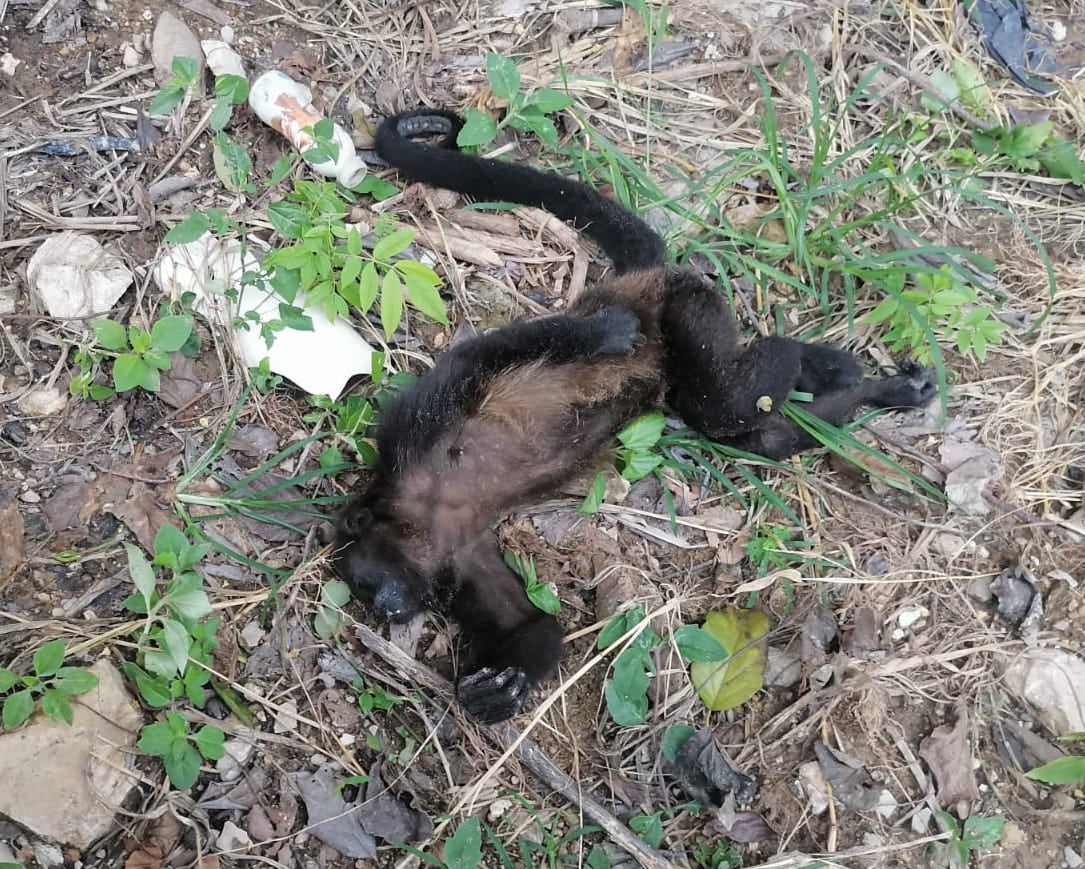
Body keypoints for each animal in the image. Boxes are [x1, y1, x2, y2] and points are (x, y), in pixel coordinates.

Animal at [332, 109, 937, 724]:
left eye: (362, 583)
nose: (387, 609)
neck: (422, 513)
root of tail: (647, 279)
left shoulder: (416, 432)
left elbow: (494, 353)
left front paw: (601, 333)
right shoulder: (461, 553)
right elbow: (529, 622)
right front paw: (505, 682)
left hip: (684, 306)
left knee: (723, 404)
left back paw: (792, 358)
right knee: (752, 430)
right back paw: (856, 383)